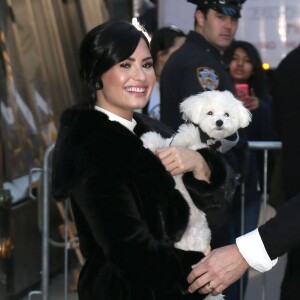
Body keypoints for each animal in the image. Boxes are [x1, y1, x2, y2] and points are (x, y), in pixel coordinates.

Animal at [141, 90, 251, 298]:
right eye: (210, 113)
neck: (202, 139)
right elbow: (161, 141)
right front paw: (147, 141)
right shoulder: (172, 142)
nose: (219, 122)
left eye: (227, 114)